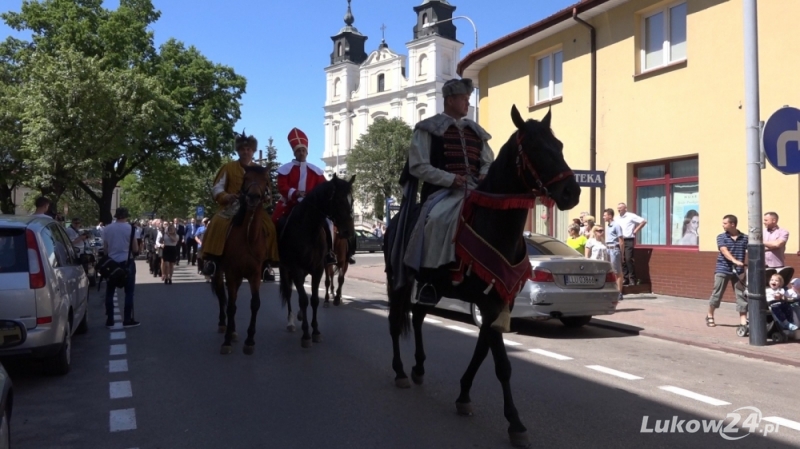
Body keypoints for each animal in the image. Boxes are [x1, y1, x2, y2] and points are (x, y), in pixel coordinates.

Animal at [211, 166, 274, 356]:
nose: (253, 197)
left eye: (265, 180)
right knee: (222, 295)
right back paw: (224, 326)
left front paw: (250, 340)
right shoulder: (231, 273)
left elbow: (255, 304)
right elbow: (231, 306)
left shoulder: (254, 275)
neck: (248, 238)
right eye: (246, 178)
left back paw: (232, 331)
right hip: (220, 272)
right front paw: (226, 342)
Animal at [282, 172, 356, 346]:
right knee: (288, 292)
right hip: (285, 269)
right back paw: (291, 322)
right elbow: (303, 299)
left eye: (352, 200)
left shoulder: (319, 268)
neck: (308, 230)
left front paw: (315, 331)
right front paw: (306, 334)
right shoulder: (296, 269)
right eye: (338, 200)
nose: (349, 232)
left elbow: (315, 299)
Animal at [384, 106, 580, 448]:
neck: (497, 225)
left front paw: (464, 395)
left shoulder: (499, 301)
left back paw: (419, 366)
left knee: (418, 317)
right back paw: (400, 372)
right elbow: (502, 364)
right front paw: (515, 422)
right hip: (399, 281)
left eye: (559, 146)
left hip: (430, 286)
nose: (572, 191)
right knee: (396, 323)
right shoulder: (488, 303)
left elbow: (481, 352)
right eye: (535, 148)